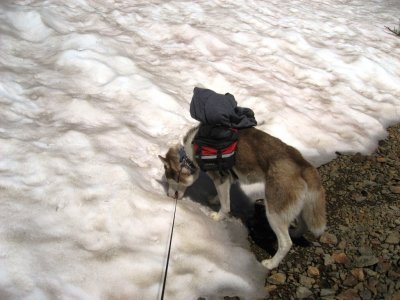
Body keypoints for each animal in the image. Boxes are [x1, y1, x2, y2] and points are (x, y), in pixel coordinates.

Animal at [158, 125, 326, 270]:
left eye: (170, 180)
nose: (169, 195)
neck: (189, 154)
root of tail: (304, 165)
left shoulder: (220, 178)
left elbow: (226, 205)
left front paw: (218, 216)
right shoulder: (228, 178)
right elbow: (223, 197)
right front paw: (215, 199)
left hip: (274, 212)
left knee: (286, 243)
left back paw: (271, 263)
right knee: (303, 223)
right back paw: (296, 232)